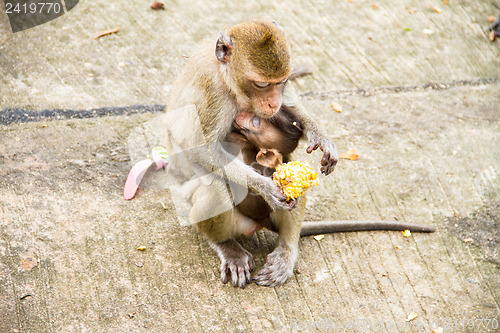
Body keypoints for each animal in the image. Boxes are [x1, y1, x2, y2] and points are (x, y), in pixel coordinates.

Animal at [166, 20, 338, 288]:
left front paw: (321, 136)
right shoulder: (211, 92)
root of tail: (257, 224)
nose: (273, 103)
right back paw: (227, 246)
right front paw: (267, 189)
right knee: (215, 186)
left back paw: (287, 250)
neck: (227, 77)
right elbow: (202, 150)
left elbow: (293, 109)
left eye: (281, 81)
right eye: (262, 84)